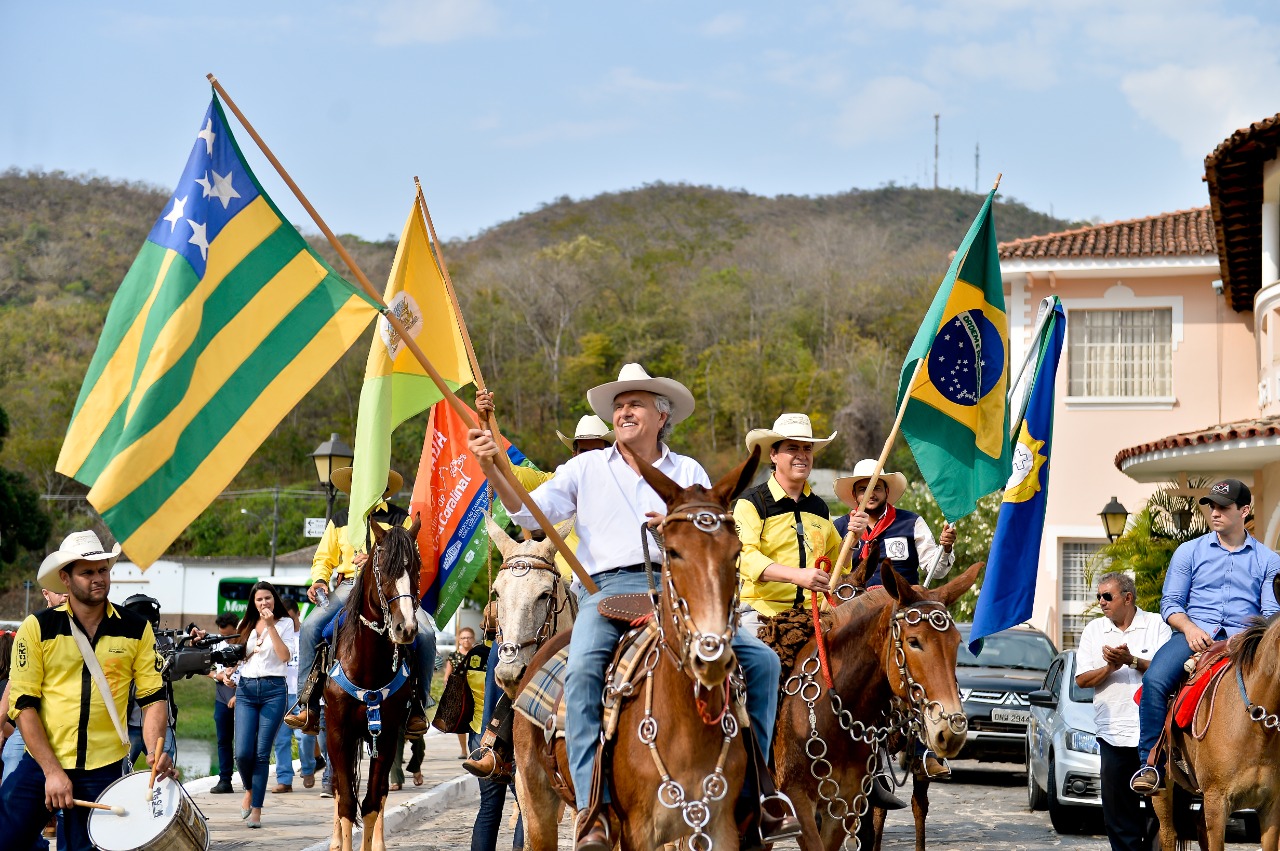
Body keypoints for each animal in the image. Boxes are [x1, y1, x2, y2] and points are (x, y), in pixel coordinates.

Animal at [325, 516, 419, 849]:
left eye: (416, 567)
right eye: (383, 569)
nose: (406, 628)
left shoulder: (388, 735)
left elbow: (372, 803)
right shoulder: (338, 734)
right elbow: (345, 802)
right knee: (338, 789)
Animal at [514, 447, 757, 844]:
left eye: (736, 551)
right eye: (672, 551)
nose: (711, 655)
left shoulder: (720, 827)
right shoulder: (641, 830)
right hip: (537, 803)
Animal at [773, 557, 972, 849]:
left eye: (957, 643)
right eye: (914, 641)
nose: (951, 730)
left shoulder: (845, 801)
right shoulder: (797, 800)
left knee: (916, 805)